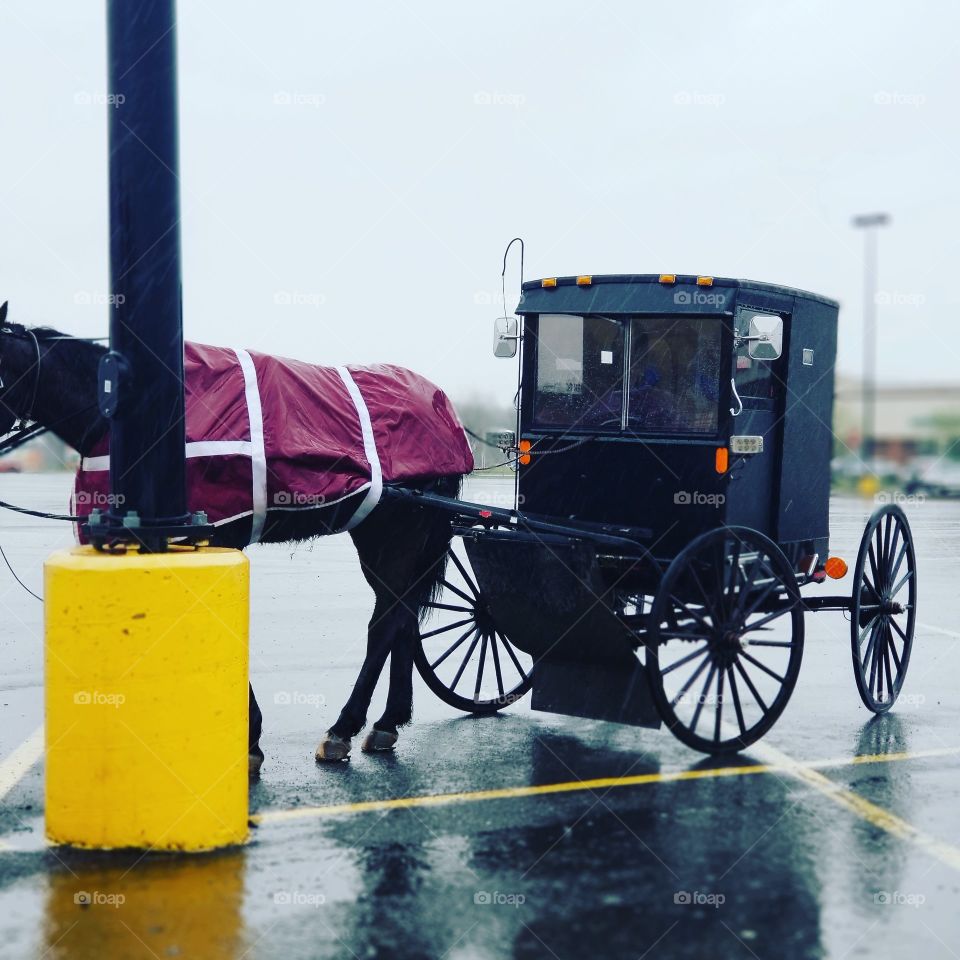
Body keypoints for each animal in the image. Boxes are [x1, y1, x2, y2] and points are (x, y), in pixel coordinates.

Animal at [0, 304, 468, 776]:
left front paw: (250, 739)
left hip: (394, 533)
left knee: (387, 621)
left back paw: (344, 728)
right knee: (401, 613)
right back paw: (388, 721)